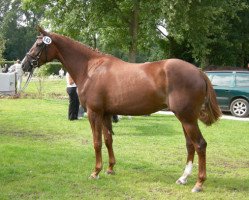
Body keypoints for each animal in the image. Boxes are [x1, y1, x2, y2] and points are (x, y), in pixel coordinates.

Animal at [20, 27, 220, 192]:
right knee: (190, 145)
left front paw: (96, 172)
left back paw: (198, 184)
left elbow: (97, 142)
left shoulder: (94, 113)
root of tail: (199, 71)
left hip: (187, 118)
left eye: (39, 44)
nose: (24, 64)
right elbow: (108, 140)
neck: (90, 68)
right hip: (185, 118)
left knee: (200, 144)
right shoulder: (106, 114)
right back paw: (183, 178)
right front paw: (110, 169)